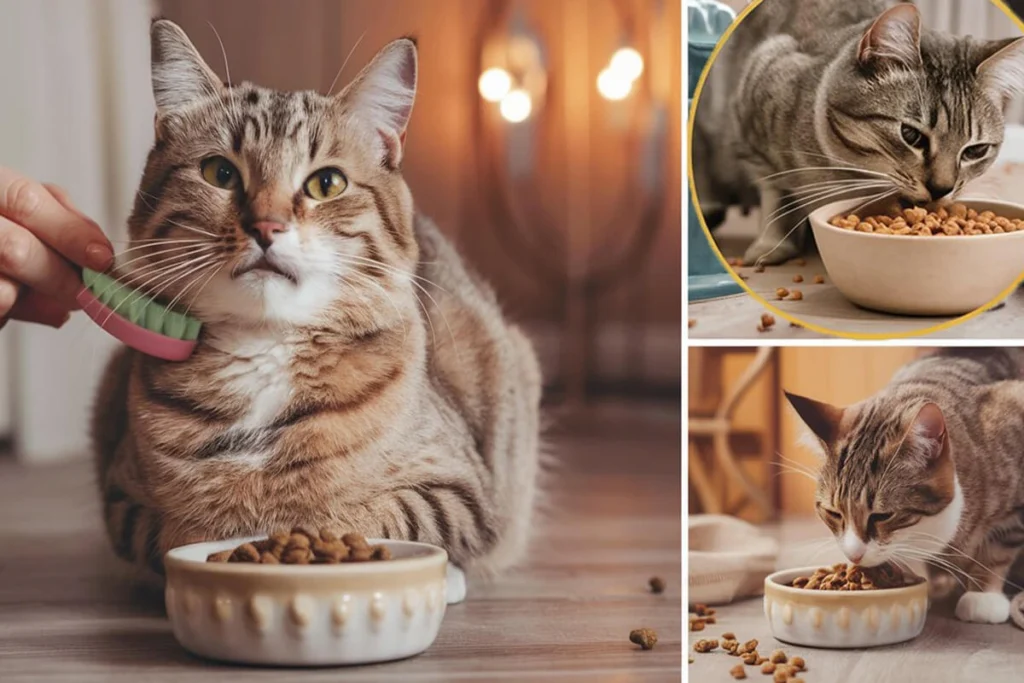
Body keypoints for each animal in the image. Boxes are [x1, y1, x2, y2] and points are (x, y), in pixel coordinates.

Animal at [92, 20, 544, 581]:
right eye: (220, 173)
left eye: (326, 183)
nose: (267, 226)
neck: (263, 350)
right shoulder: (124, 500)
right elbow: (173, 530)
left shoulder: (464, 494)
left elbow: (367, 514)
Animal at [692, 0, 1024, 264]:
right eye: (911, 135)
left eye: (975, 150)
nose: (942, 189)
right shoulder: (753, 114)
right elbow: (775, 194)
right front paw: (772, 244)